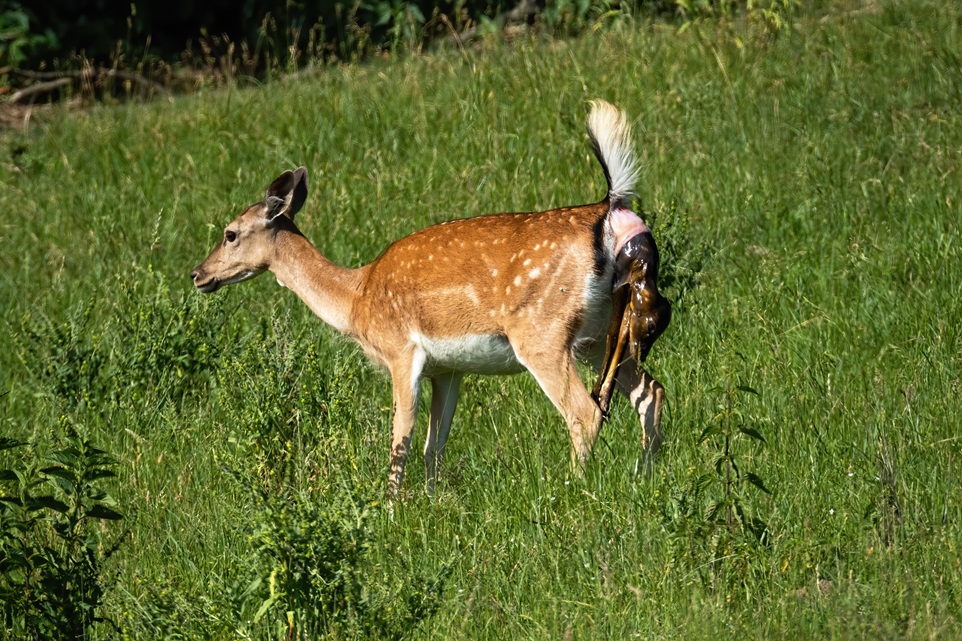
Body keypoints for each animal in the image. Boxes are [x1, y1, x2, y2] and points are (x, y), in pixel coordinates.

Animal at [188, 100, 668, 496]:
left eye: (230, 233)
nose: (198, 275)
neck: (357, 299)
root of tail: (609, 208)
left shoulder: (402, 350)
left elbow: (400, 440)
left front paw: (390, 511)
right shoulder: (449, 369)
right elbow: (433, 447)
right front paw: (434, 503)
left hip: (542, 331)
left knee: (586, 412)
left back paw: (572, 489)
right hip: (597, 334)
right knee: (652, 391)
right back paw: (646, 477)